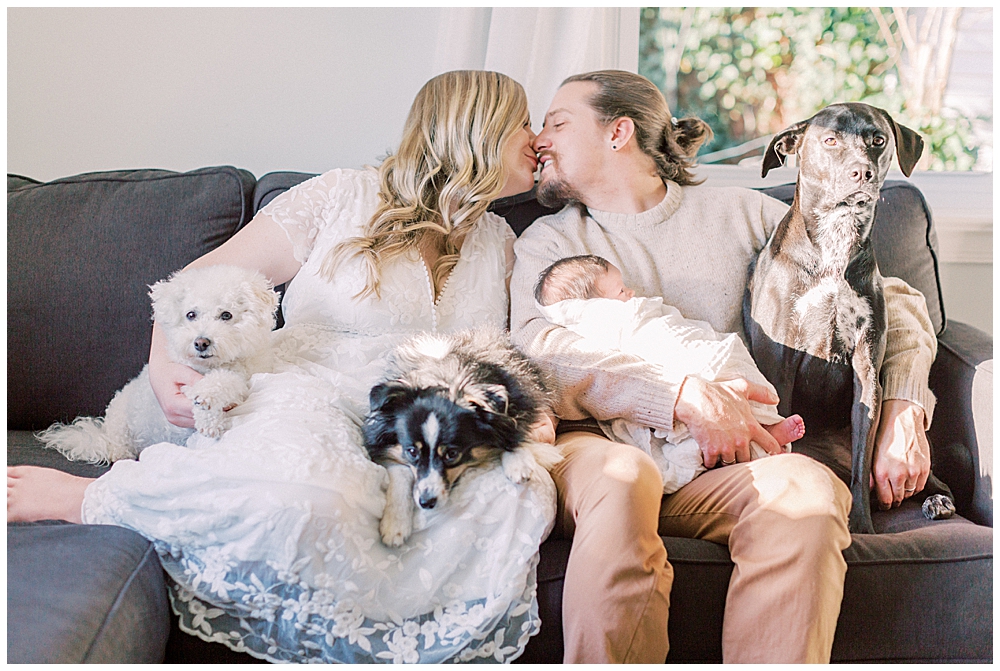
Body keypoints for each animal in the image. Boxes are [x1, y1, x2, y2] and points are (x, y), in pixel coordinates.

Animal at [37, 266, 280, 464]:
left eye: (226, 315)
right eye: (191, 314)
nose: (201, 342)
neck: (211, 367)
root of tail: (101, 436)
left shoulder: (242, 378)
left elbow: (227, 383)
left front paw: (209, 400)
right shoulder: (183, 378)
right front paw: (209, 418)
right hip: (120, 423)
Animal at [364, 328, 564, 548]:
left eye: (452, 454)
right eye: (412, 451)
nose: (426, 502)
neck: (442, 379)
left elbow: (513, 431)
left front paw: (518, 461)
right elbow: (400, 471)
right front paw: (395, 524)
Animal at [748, 103, 956, 536]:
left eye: (878, 139)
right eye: (830, 140)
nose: (862, 173)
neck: (834, 244)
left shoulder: (866, 371)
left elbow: (864, 465)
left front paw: (861, 526)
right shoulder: (779, 366)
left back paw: (938, 501)